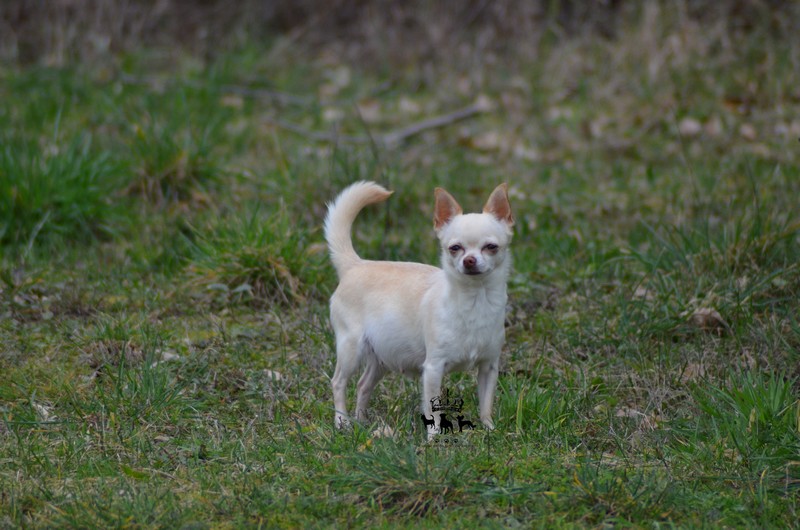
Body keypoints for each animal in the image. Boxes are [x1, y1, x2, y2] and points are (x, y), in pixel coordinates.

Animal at [324, 180, 512, 428]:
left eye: (491, 247)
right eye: (455, 248)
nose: (469, 260)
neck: (475, 299)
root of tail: (355, 264)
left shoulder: (488, 367)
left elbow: (486, 405)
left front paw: (489, 429)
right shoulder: (433, 369)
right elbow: (434, 412)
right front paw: (434, 436)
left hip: (381, 356)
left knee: (363, 385)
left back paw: (362, 422)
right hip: (351, 349)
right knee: (338, 382)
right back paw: (341, 422)